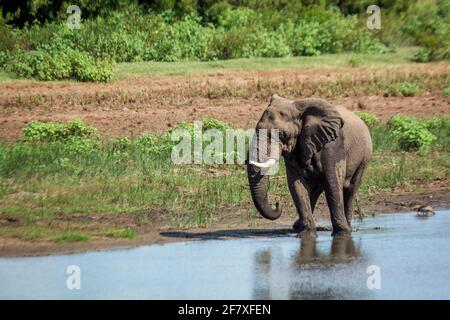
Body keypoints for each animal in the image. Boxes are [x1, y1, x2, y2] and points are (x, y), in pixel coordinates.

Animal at [246, 95, 372, 238]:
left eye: (282, 135)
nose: (277, 203)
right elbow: (297, 185)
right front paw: (306, 235)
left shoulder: (332, 145)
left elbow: (332, 182)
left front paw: (341, 234)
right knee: (316, 189)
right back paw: (297, 227)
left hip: (365, 157)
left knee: (351, 189)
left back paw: (348, 228)